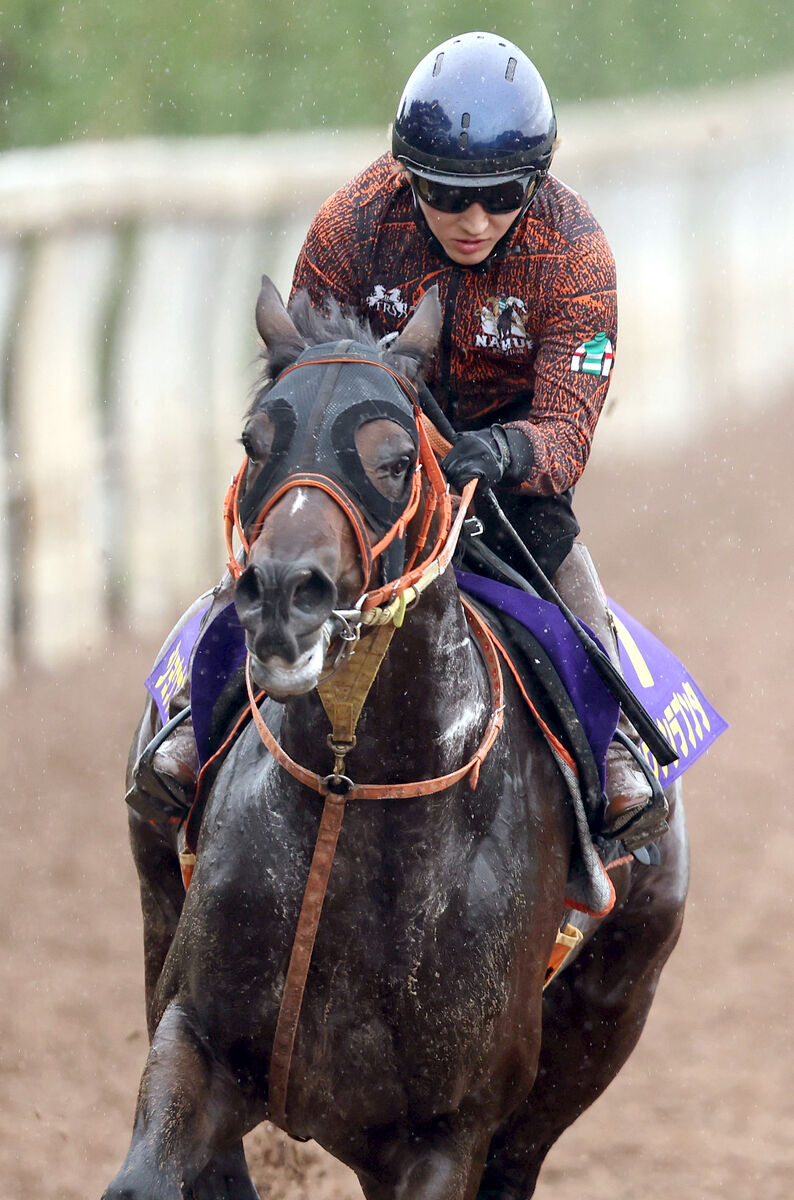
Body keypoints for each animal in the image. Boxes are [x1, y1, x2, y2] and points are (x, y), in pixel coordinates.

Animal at [105, 278, 690, 1200]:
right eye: (254, 441)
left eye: (397, 460)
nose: (284, 593)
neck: (356, 785)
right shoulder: (197, 1035)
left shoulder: (448, 1132)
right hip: (157, 898)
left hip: (602, 1020)